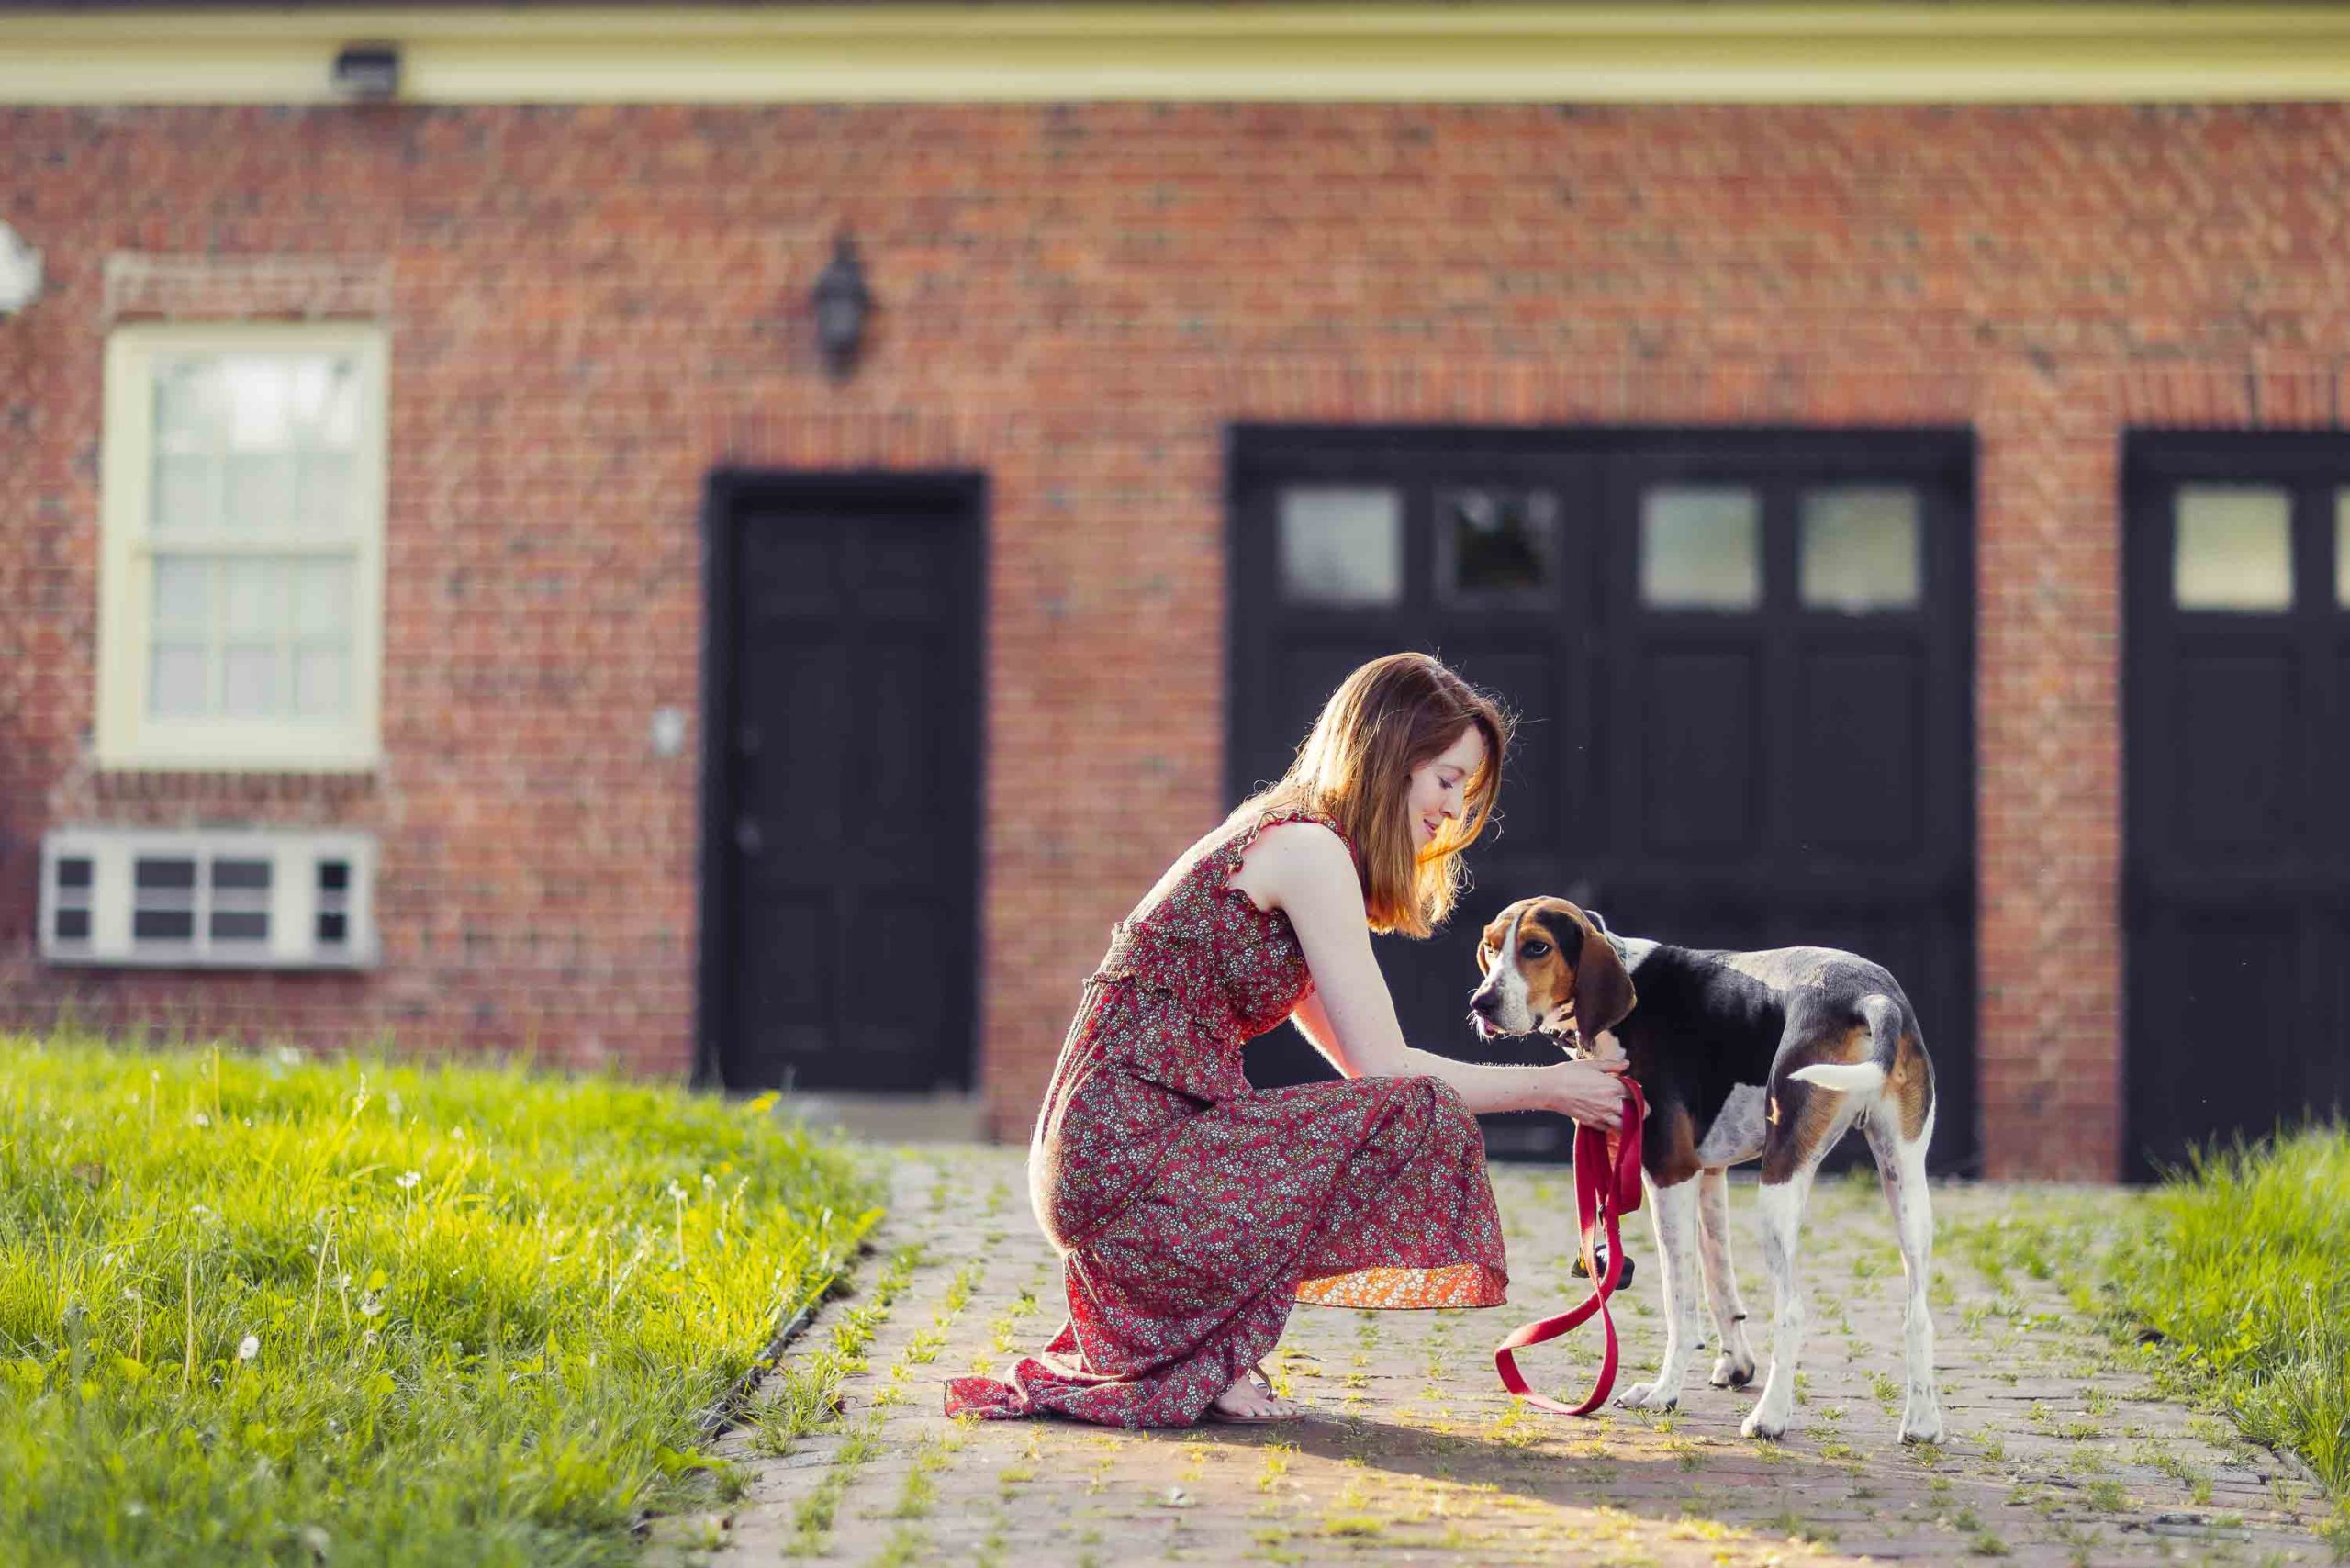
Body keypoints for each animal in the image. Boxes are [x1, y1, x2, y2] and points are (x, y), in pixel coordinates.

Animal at [1466, 893, 1945, 1448]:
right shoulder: (1710, 1175)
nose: (1482, 1003)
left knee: (1792, 1310)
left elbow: (1681, 1302)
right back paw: (1922, 1421)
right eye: (1490, 946)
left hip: (1778, 1186)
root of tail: (1871, 996)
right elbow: (1719, 1286)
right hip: (1904, 1178)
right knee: (1918, 1313)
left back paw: (1770, 1418)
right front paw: (1735, 1364)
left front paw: (1664, 1392)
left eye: (1536, 947)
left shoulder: (1670, 1172)